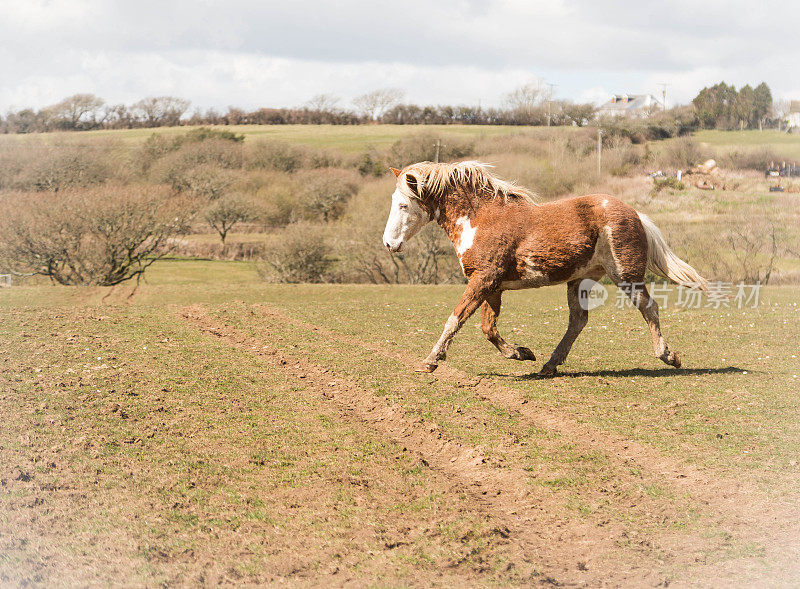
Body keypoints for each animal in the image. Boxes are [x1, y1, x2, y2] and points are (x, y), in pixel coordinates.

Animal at [382, 161, 708, 374]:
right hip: (580, 280)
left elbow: (456, 319)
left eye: (403, 205)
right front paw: (521, 353)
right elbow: (488, 328)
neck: (480, 219)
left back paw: (669, 356)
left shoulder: (484, 280)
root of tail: (635, 213)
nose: (388, 243)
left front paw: (430, 361)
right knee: (578, 321)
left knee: (649, 308)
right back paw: (550, 365)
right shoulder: (491, 285)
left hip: (626, 276)